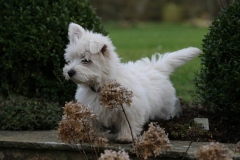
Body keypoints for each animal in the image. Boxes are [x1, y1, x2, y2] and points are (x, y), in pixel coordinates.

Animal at [62, 22, 202, 142]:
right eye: (71, 59)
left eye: (86, 60)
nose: (70, 72)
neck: (102, 86)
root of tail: (156, 67)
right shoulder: (91, 109)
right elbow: (91, 123)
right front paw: (89, 136)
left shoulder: (131, 108)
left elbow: (129, 123)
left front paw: (126, 137)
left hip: (164, 106)